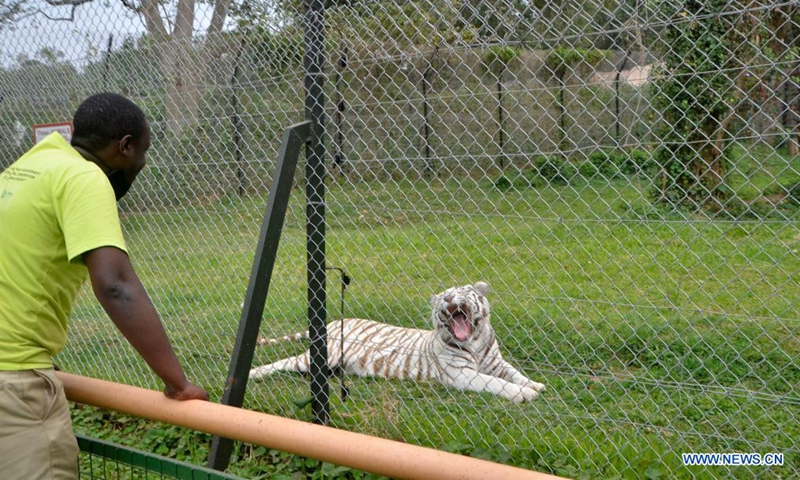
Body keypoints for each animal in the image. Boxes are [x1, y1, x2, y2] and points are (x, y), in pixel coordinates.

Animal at [250, 282, 548, 402]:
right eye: (444, 297)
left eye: (460, 293)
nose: (448, 300)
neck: (474, 340)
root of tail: (337, 320)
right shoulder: (462, 374)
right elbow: (495, 383)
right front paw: (523, 394)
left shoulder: (496, 362)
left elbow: (513, 373)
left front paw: (535, 384)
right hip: (324, 354)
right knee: (284, 361)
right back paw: (254, 373)